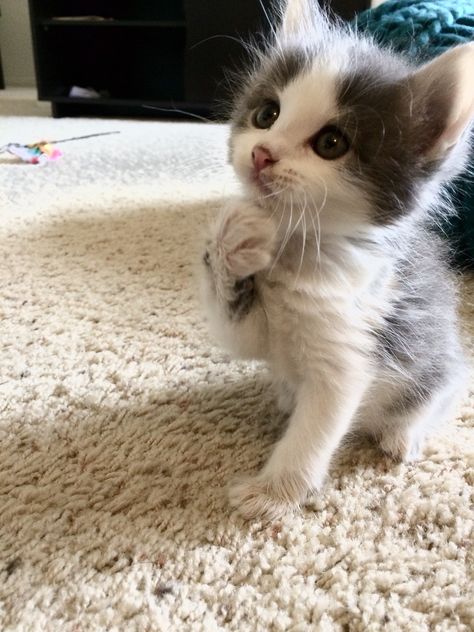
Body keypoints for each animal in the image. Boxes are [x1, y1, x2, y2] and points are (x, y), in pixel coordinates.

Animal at [201, 1, 474, 524]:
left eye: (331, 143)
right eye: (267, 114)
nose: (262, 154)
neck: (301, 249)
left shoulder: (348, 353)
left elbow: (314, 432)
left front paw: (274, 493)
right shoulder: (257, 331)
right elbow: (239, 330)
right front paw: (235, 238)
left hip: (438, 371)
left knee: (434, 400)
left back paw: (402, 434)